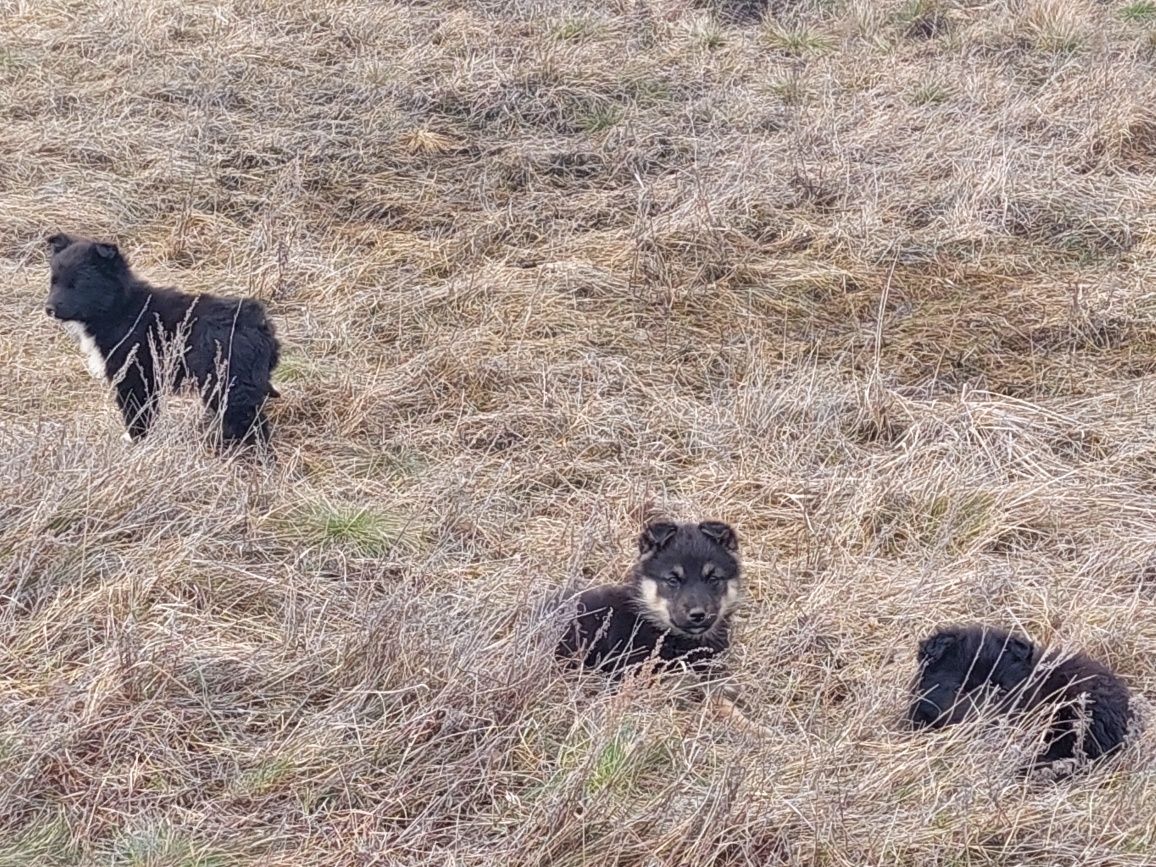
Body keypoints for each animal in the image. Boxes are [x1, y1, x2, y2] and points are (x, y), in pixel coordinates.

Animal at [45, 232, 282, 448]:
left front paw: (136, 441)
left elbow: (136, 411)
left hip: (228, 382)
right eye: (54, 281)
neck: (120, 308)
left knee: (248, 421)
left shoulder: (134, 374)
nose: (49, 309)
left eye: (77, 284)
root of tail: (260, 324)